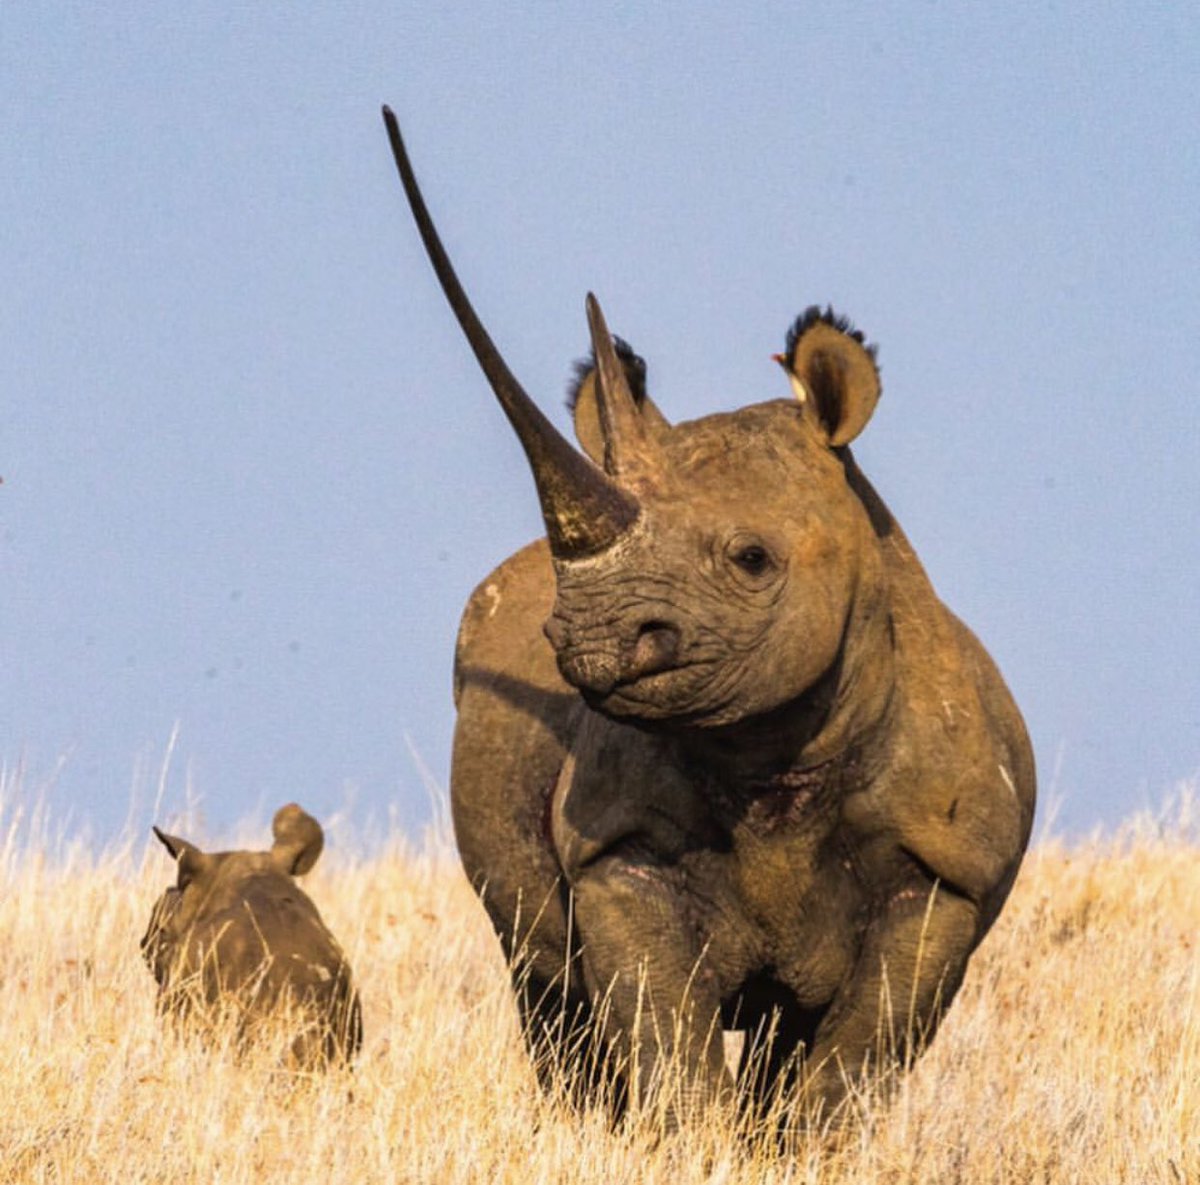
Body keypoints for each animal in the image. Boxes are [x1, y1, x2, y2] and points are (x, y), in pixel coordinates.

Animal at [381, 106, 1035, 1128]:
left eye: (752, 559)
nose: (585, 637)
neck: (775, 758)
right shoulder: (614, 848)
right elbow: (664, 1036)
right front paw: (684, 1140)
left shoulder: (944, 872)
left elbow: (856, 1057)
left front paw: (801, 1147)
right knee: (545, 982)